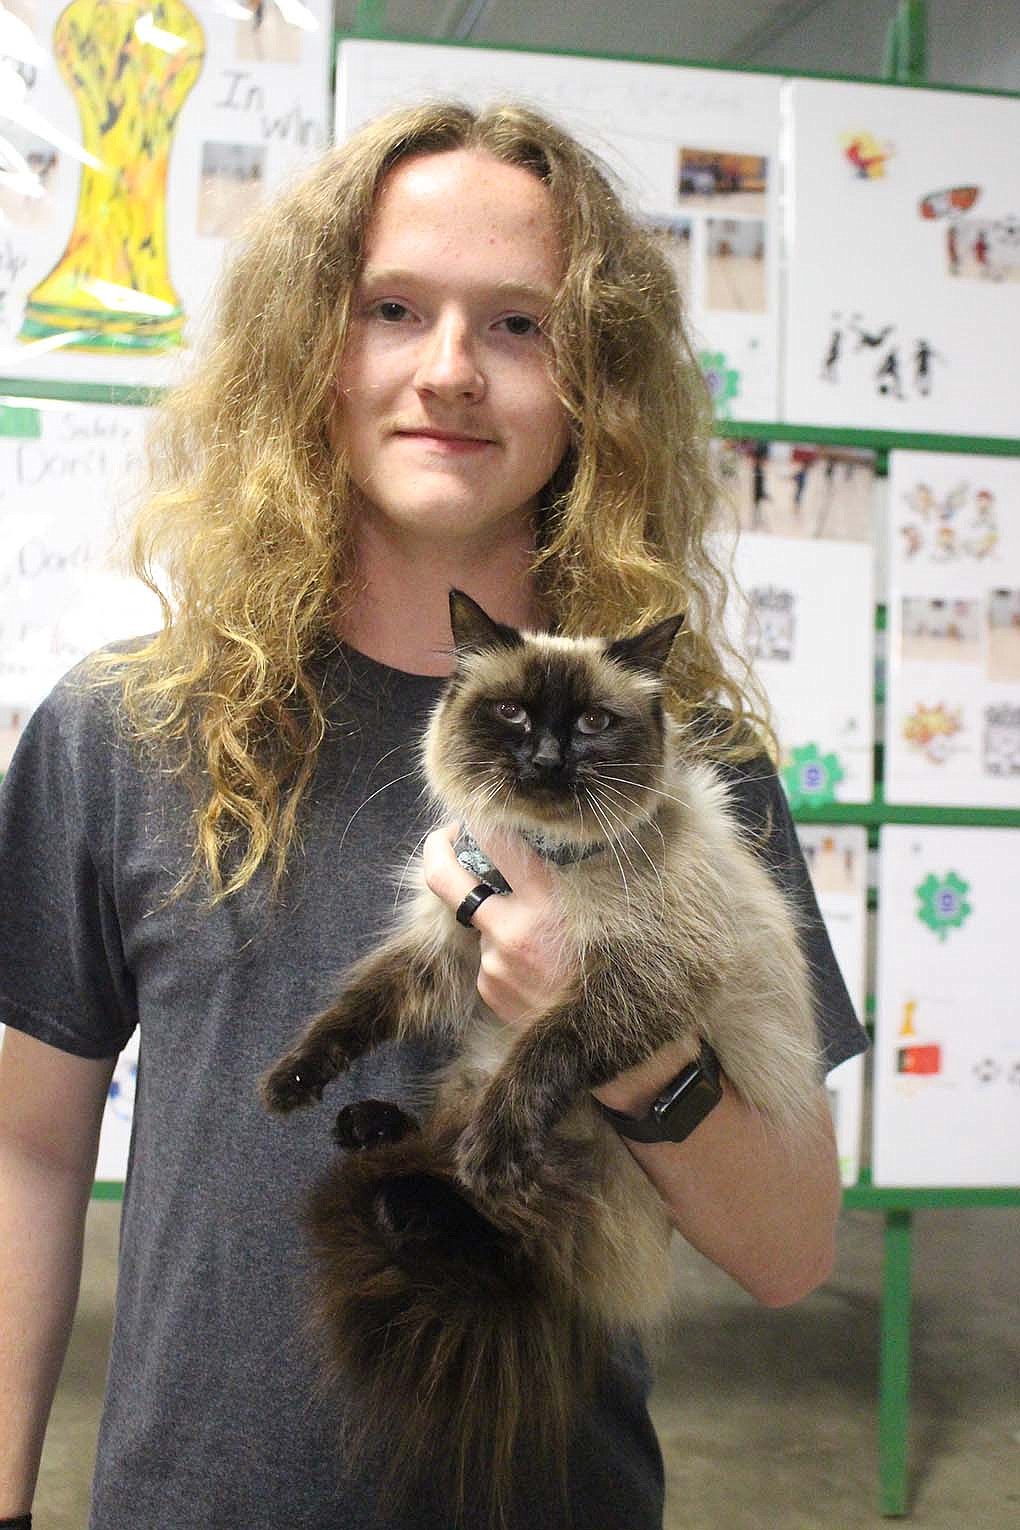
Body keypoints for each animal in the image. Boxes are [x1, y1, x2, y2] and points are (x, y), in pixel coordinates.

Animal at [263, 590, 819, 1523]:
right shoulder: (444, 948)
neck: (542, 856)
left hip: (586, 1155)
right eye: (513, 713)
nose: (548, 758)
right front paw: (291, 1081)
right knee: (439, 1144)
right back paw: (370, 1128)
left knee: (509, 1239)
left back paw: (429, 1193)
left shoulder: (629, 984)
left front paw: (491, 1147)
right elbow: (358, 1005)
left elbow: (545, 1051)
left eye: (593, 722)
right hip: (469, 1070)